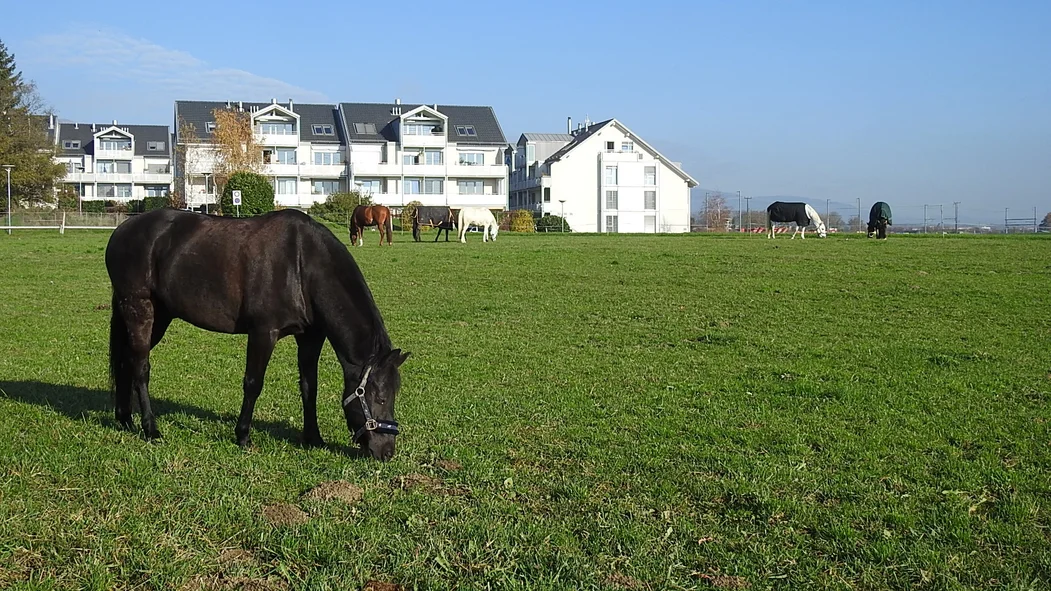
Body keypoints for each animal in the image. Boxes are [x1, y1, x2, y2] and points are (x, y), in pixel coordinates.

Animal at [105, 208, 410, 461]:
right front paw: (243, 436)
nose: (386, 451)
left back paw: (125, 419)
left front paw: (313, 437)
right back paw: (150, 428)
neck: (302, 264)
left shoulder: (310, 338)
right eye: (381, 398)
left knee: (126, 361)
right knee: (140, 367)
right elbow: (253, 384)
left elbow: (309, 387)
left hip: (160, 315)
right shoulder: (264, 333)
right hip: (140, 310)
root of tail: (122, 230)